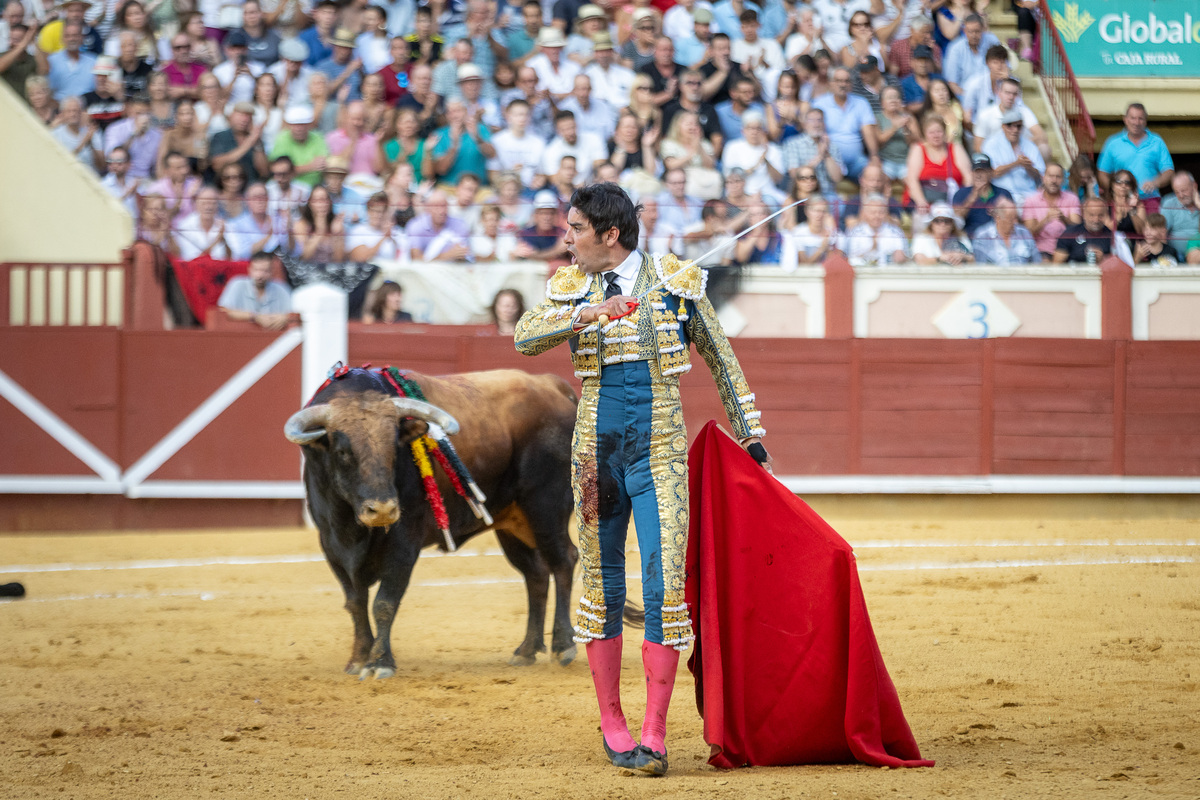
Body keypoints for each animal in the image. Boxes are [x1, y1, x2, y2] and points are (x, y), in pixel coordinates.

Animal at [283, 367, 578, 676]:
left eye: (394, 449)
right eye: (342, 451)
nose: (383, 510)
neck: (351, 529)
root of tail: (550, 384)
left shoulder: (404, 542)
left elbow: (384, 602)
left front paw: (380, 663)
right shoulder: (331, 544)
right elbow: (355, 602)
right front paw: (359, 659)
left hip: (546, 508)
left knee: (564, 560)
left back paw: (563, 645)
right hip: (513, 523)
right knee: (536, 574)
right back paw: (526, 650)